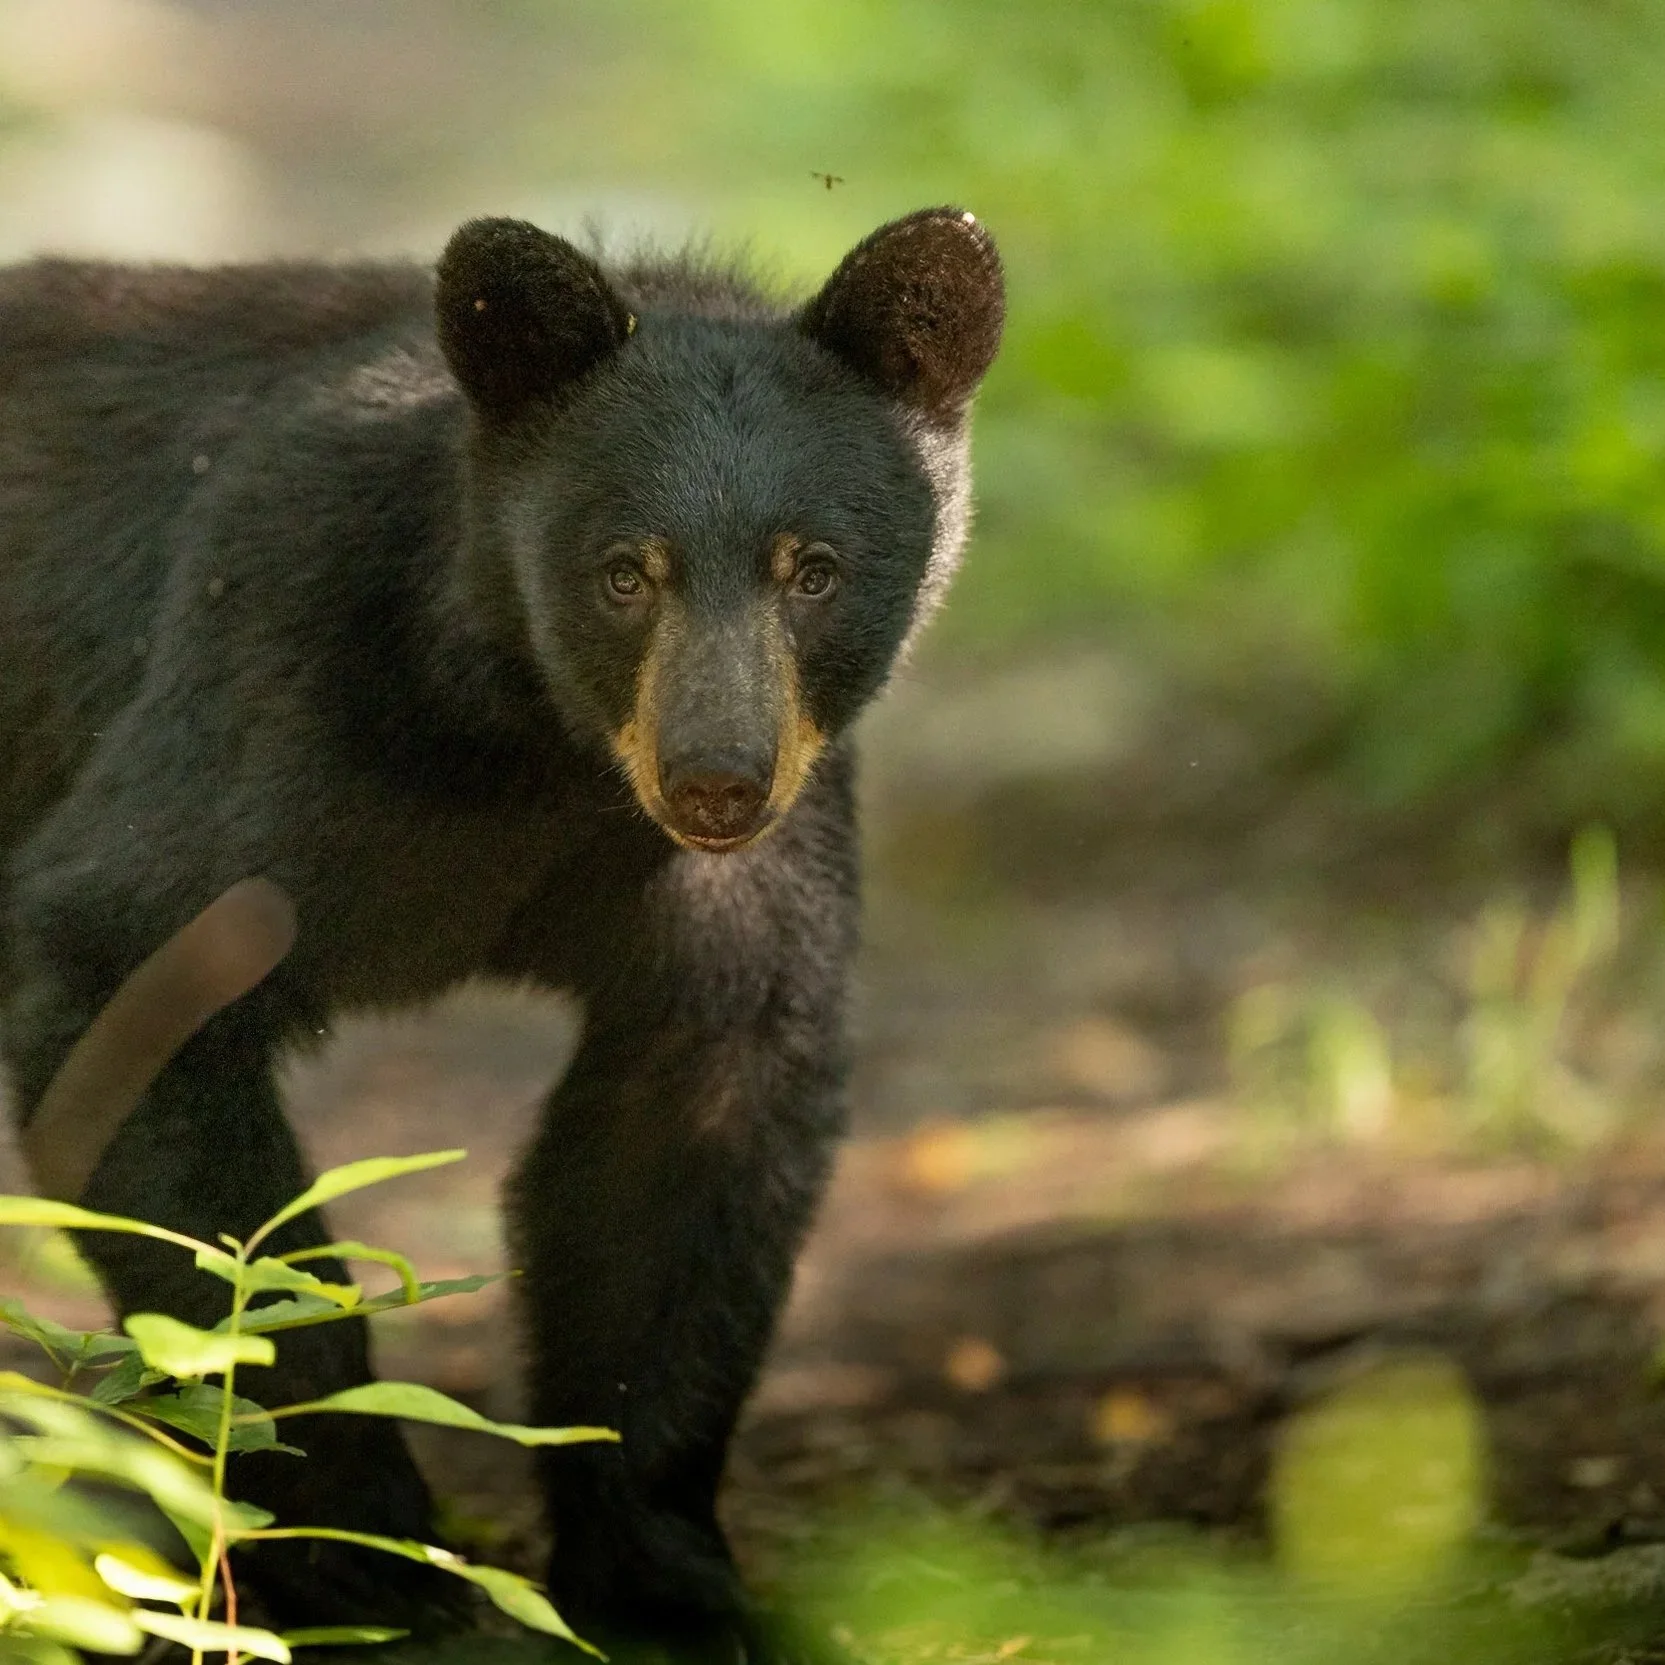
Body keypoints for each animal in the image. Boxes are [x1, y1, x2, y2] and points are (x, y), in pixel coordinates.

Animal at [0, 206, 1004, 1660]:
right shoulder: (274, 670)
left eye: (812, 569)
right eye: (625, 571)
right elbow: (134, 977)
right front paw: (379, 1565)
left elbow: (684, 1128)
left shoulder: (746, 858)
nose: (716, 779)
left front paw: (661, 1578)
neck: (533, 740)